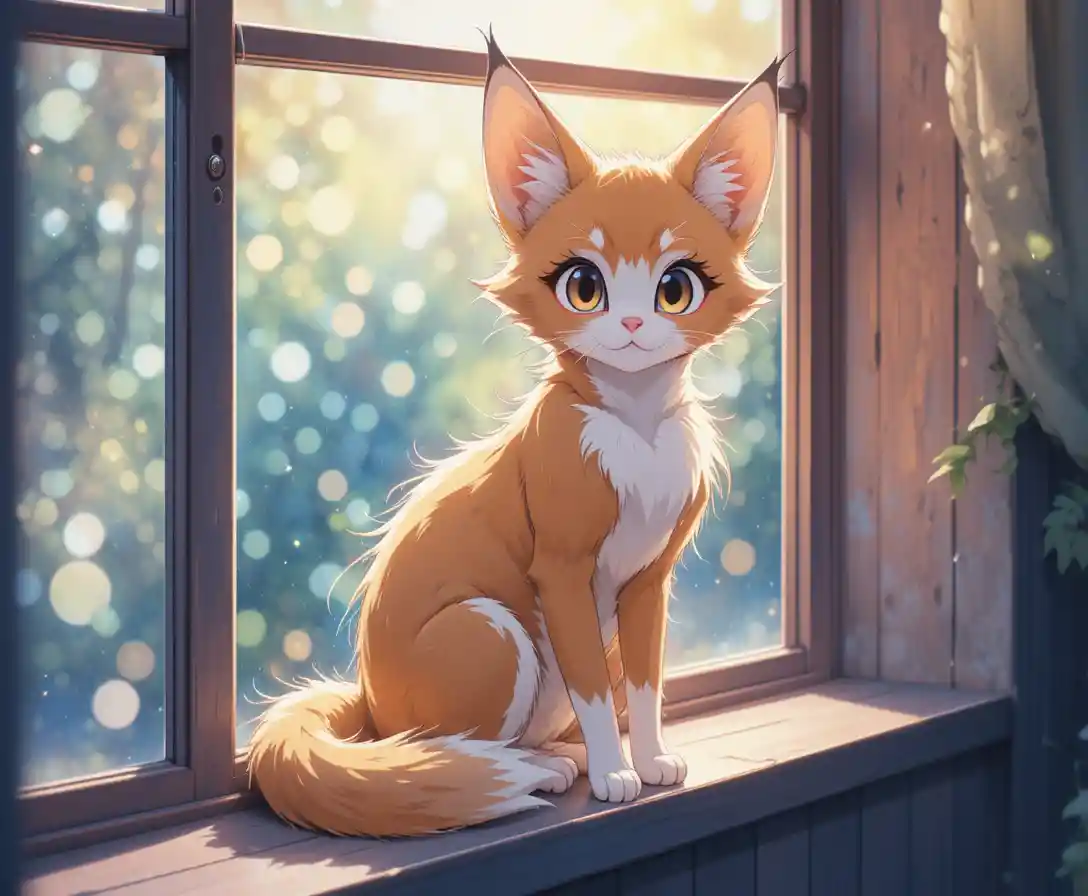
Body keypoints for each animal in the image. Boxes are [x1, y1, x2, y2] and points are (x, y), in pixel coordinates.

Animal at [248, 32, 782, 838]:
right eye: (584, 286)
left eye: (676, 288)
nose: (632, 323)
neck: (637, 433)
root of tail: (367, 707)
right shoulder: (560, 573)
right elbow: (593, 689)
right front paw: (618, 775)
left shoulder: (649, 583)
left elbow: (646, 687)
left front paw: (648, 760)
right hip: (490, 629)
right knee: (441, 750)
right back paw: (535, 769)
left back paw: (562, 757)